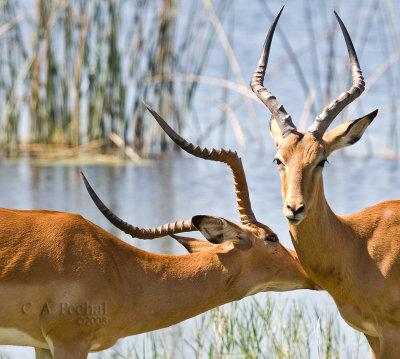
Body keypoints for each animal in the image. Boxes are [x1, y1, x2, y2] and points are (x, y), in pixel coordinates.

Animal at [250, 6, 400, 359]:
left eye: (322, 160)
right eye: (278, 159)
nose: (294, 208)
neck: (358, 245)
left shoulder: (390, 333)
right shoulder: (372, 335)